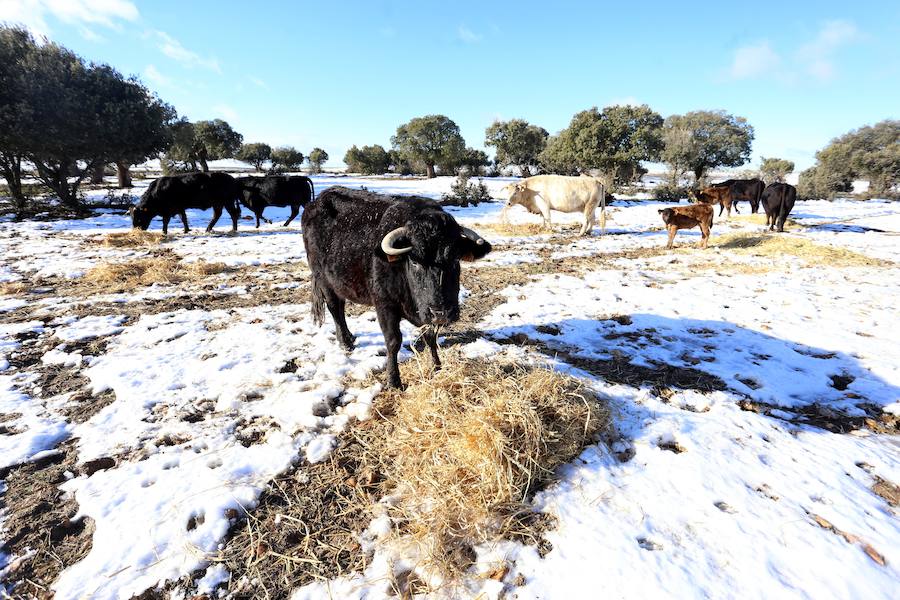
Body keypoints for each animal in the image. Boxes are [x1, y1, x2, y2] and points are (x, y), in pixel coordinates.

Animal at [306, 188, 496, 390]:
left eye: (455, 259)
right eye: (414, 261)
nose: (442, 313)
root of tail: (317, 201)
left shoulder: (425, 312)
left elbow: (430, 337)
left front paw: (436, 367)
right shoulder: (384, 305)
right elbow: (393, 341)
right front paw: (393, 380)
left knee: (341, 307)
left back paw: (349, 338)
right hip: (323, 280)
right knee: (335, 308)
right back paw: (346, 343)